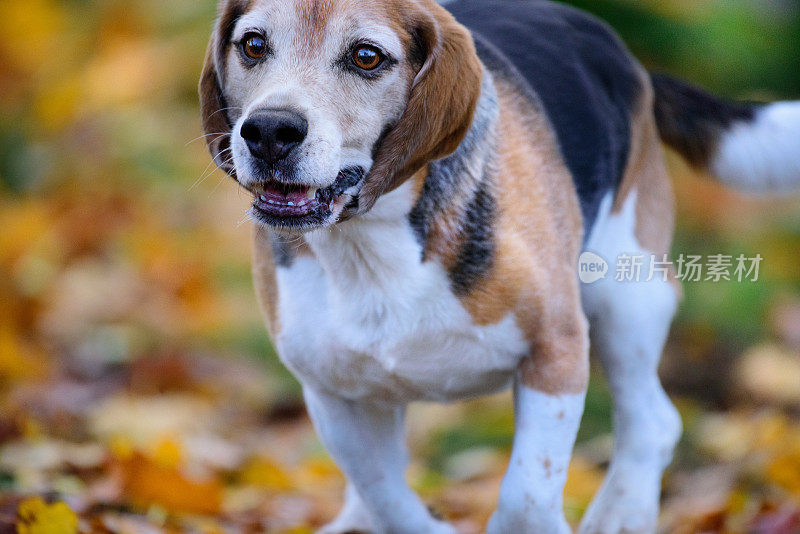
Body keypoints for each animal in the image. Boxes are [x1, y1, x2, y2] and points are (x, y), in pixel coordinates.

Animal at [198, 2, 800, 532]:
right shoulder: (335, 395)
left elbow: (525, 500)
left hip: (626, 294)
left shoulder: (556, 353)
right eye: (253, 45)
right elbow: (387, 498)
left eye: (367, 57)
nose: (268, 131)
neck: (374, 241)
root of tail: (619, 51)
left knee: (653, 422)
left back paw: (622, 515)